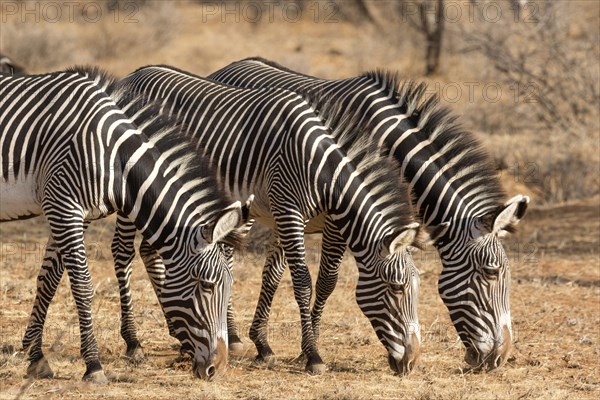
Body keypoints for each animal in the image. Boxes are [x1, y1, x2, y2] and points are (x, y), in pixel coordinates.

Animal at [0, 67, 251, 382]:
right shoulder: (63, 206)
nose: (216, 369)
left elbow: (48, 280)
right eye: (206, 286)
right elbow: (82, 285)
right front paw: (93, 365)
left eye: (229, 285)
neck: (114, 159)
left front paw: (35, 356)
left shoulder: (74, 213)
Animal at [102, 65, 422, 376]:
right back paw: (133, 342)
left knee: (153, 251)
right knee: (122, 252)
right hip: (135, 188)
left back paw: (180, 337)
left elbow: (277, 275)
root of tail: (134, 74)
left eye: (417, 287)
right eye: (397, 288)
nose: (412, 362)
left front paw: (265, 346)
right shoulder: (289, 210)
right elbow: (303, 281)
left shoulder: (285, 214)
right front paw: (312, 355)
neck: (321, 168)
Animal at [207, 57, 528, 372]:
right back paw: (233, 337)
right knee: (228, 255)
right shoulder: (341, 217)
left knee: (270, 272)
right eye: (491, 272)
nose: (499, 359)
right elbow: (327, 280)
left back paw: (261, 344)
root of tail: (233, 65)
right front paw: (310, 353)